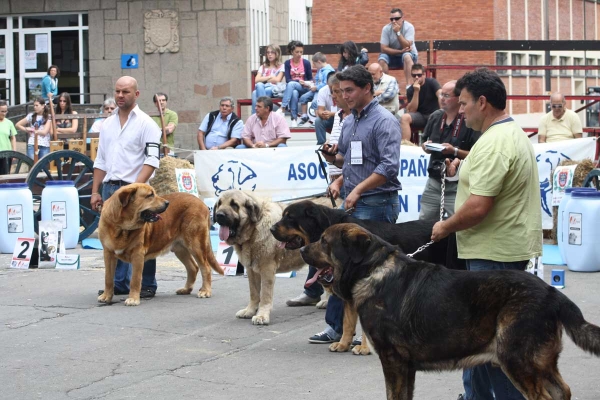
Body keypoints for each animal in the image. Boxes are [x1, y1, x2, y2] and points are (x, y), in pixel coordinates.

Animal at [272, 202, 464, 354]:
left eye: (290, 218)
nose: (271, 229)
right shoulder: (350, 293)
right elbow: (348, 322)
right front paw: (343, 344)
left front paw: (364, 347)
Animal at [302, 223, 600, 398]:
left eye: (324, 241)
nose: (303, 249)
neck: (372, 270)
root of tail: (552, 292)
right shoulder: (405, 367)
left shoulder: (393, 360)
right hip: (539, 364)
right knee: (562, 390)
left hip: (518, 361)